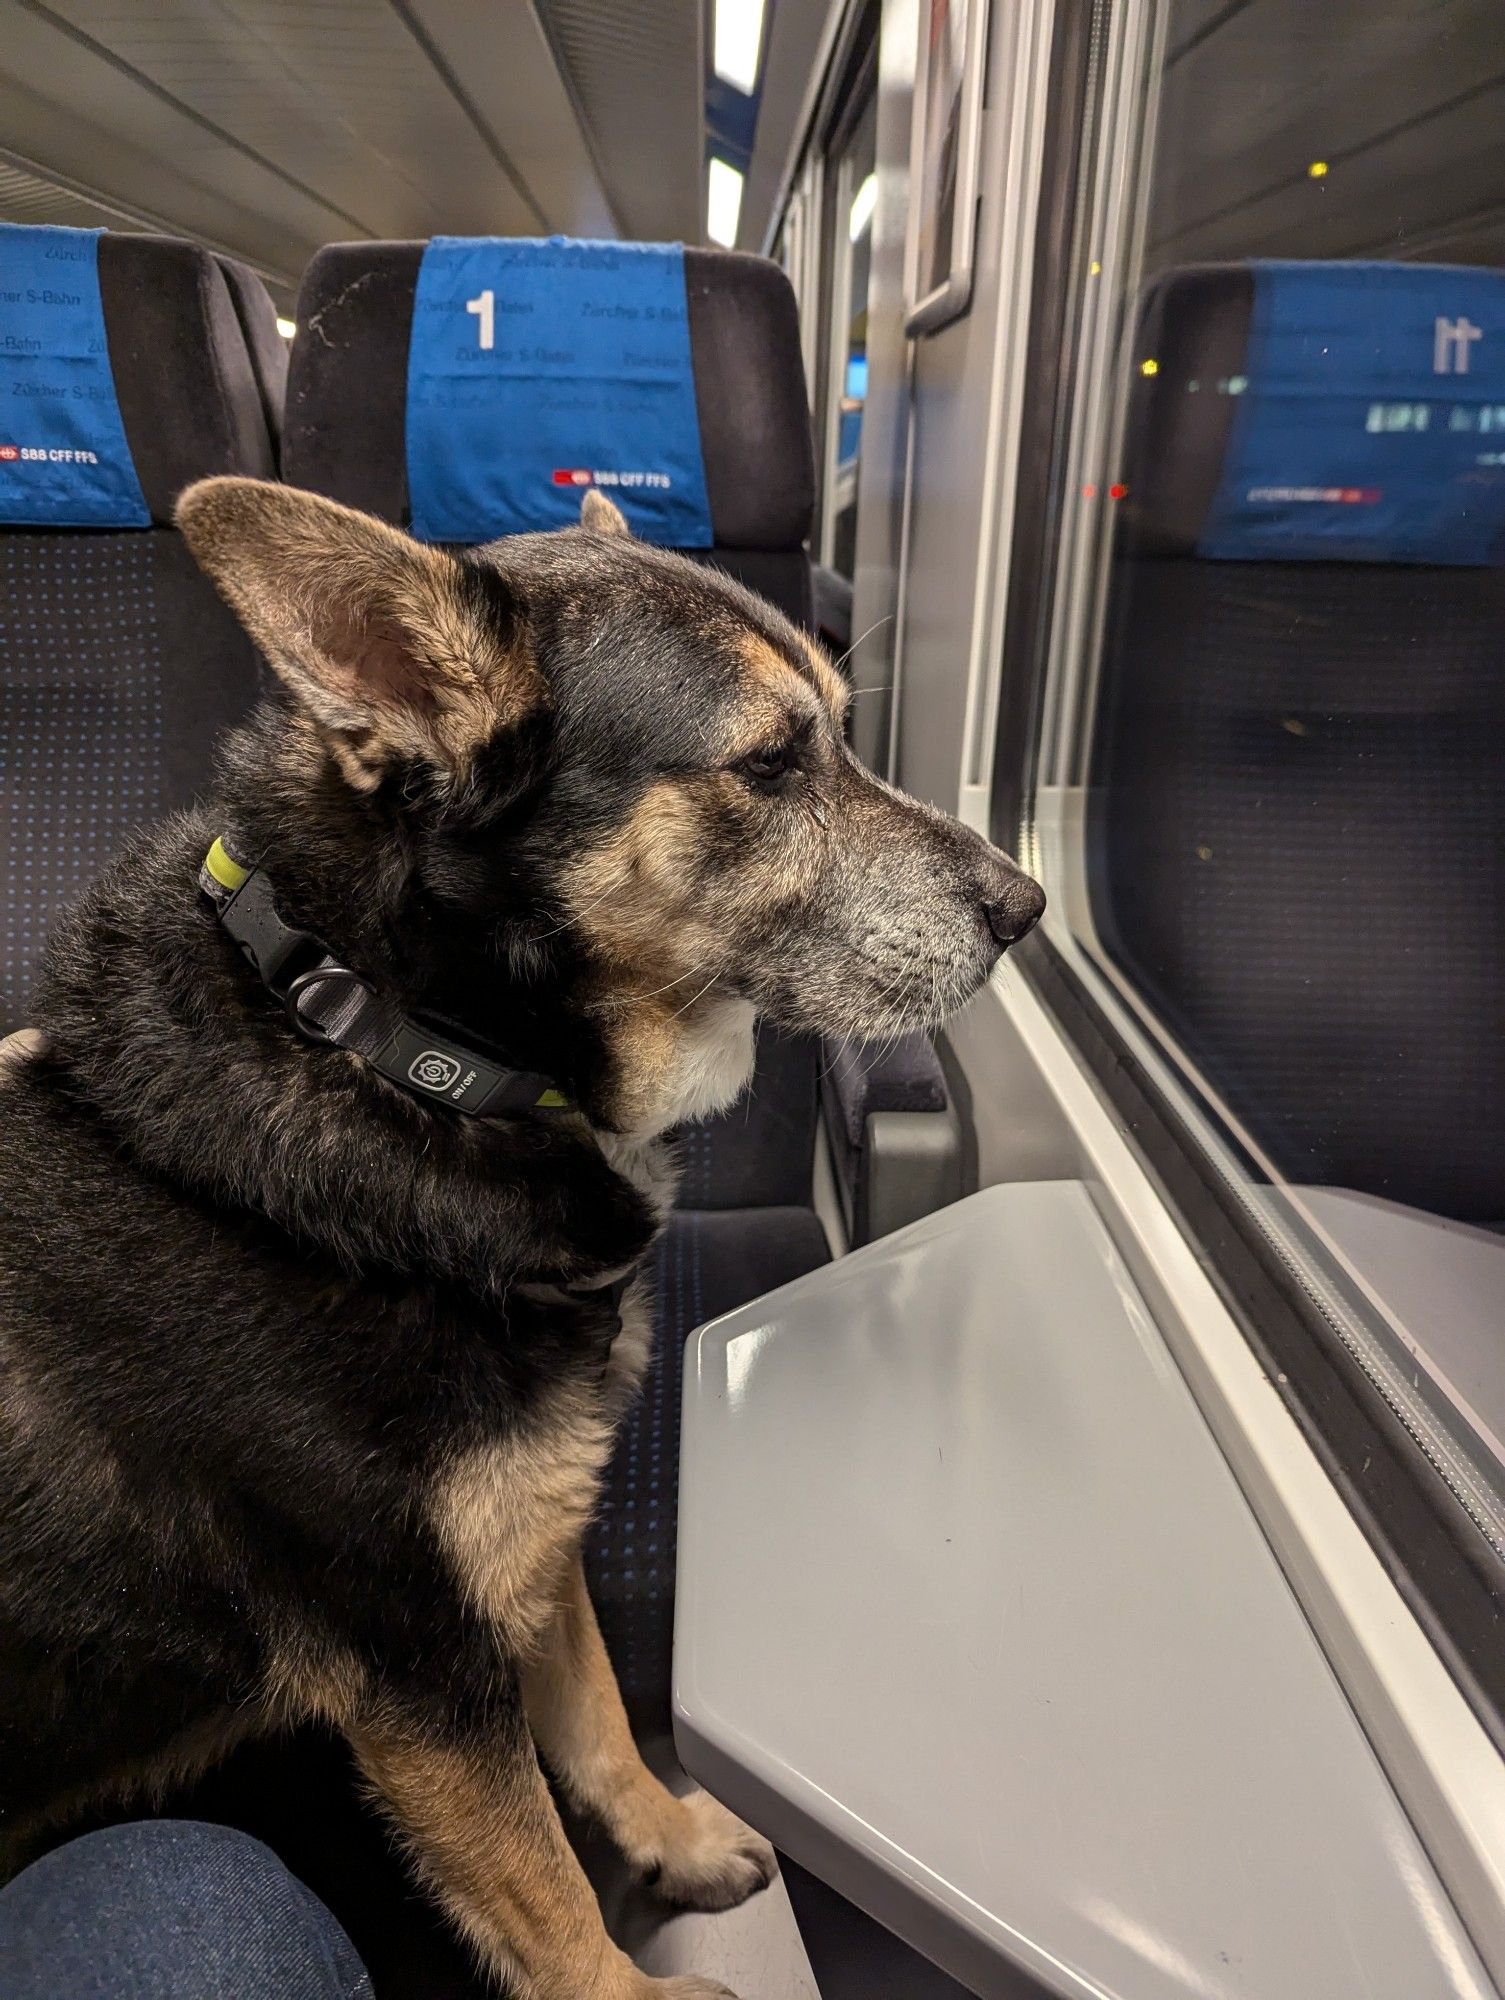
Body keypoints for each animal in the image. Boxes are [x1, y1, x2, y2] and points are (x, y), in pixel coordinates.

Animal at [0, 476, 1048, 1992]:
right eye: (771, 763)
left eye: (845, 733)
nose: (1029, 908)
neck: (395, 1043)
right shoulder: (416, 1664)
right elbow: (544, 1892)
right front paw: (636, 1985)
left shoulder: (527, 1545)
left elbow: (599, 1717)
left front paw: (674, 1837)